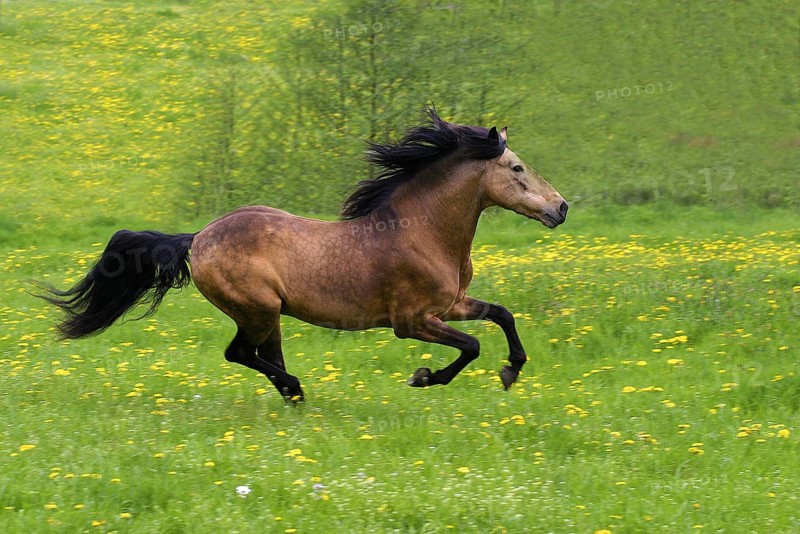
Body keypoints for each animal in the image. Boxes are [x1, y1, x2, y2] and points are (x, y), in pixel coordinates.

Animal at [37, 108, 568, 403]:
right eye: (517, 168)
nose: (561, 208)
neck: (422, 233)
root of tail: (198, 237)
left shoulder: (452, 304)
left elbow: (502, 314)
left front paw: (511, 370)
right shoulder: (412, 321)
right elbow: (471, 346)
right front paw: (424, 377)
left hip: (268, 314)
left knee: (259, 355)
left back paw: (292, 395)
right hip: (256, 308)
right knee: (240, 353)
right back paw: (295, 386)